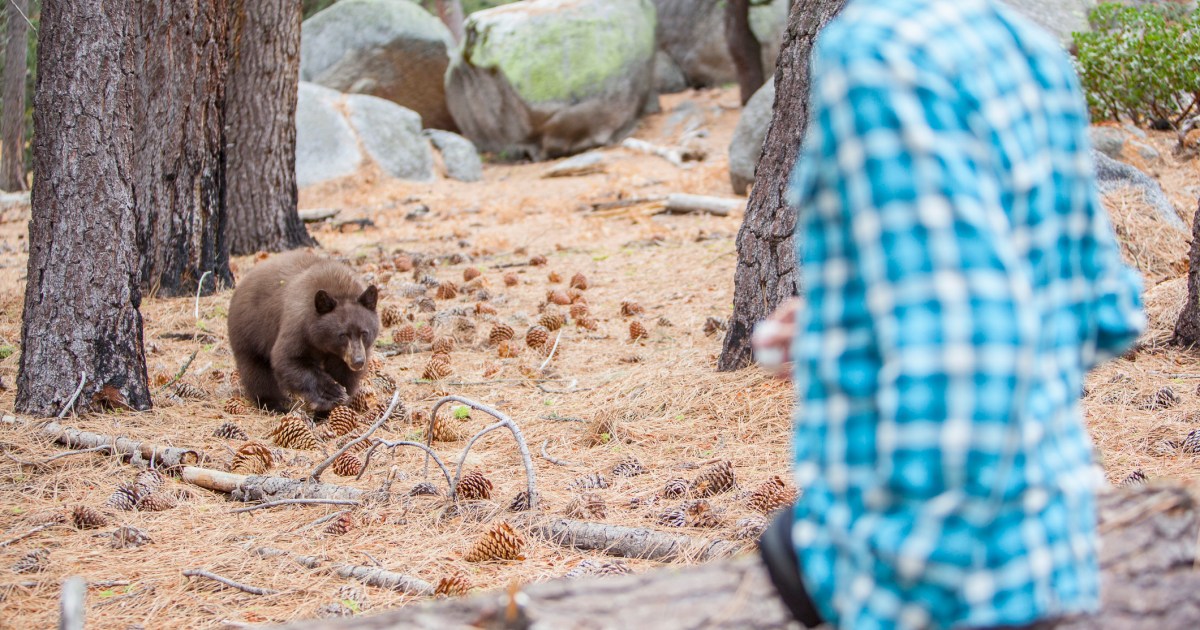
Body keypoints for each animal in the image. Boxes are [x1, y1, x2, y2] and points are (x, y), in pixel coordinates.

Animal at [227, 250, 380, 413]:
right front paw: (330, 393)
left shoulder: (346, 354)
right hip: (250, 331)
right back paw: (274, 404)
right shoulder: (298, 326)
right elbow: (288, 359)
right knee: (257, 371)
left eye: (364, 333)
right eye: (342, 335)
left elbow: (344, 373)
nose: (358, 361)